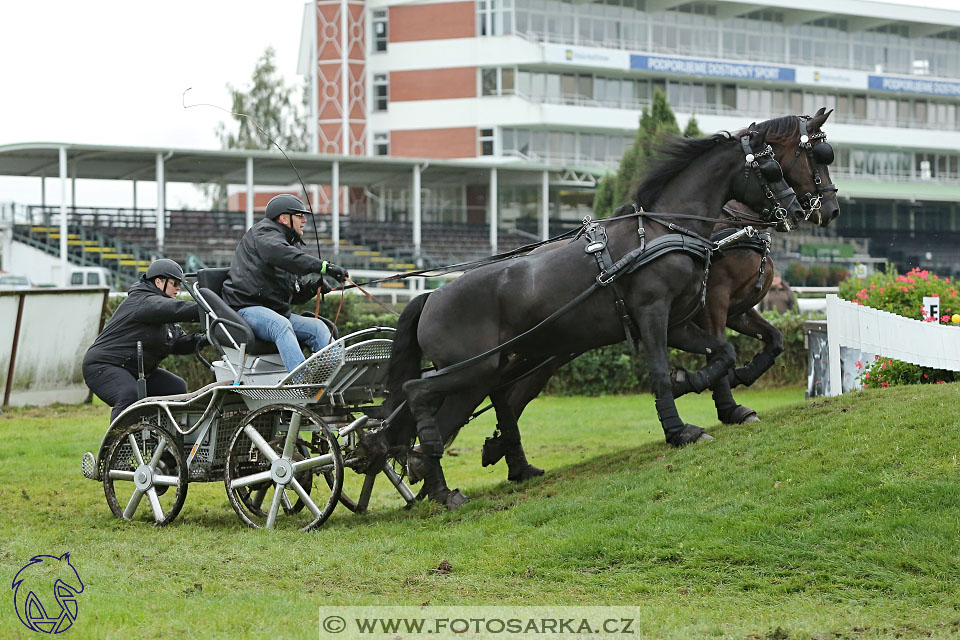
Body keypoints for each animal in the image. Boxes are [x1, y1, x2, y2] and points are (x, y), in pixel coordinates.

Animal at [372, 125, 808, 508]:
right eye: (772, 168)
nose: (796, 208)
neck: (664, 231)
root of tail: (431, 296)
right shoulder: (653, 313)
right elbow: (659, 370)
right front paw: (678, 429)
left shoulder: (680, 323)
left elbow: (723, 354)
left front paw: (691, 381)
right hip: (471, 370)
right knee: (418, 394)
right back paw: (439, 483)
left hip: (489, 371)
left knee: (455, 414)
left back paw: (442, 483)